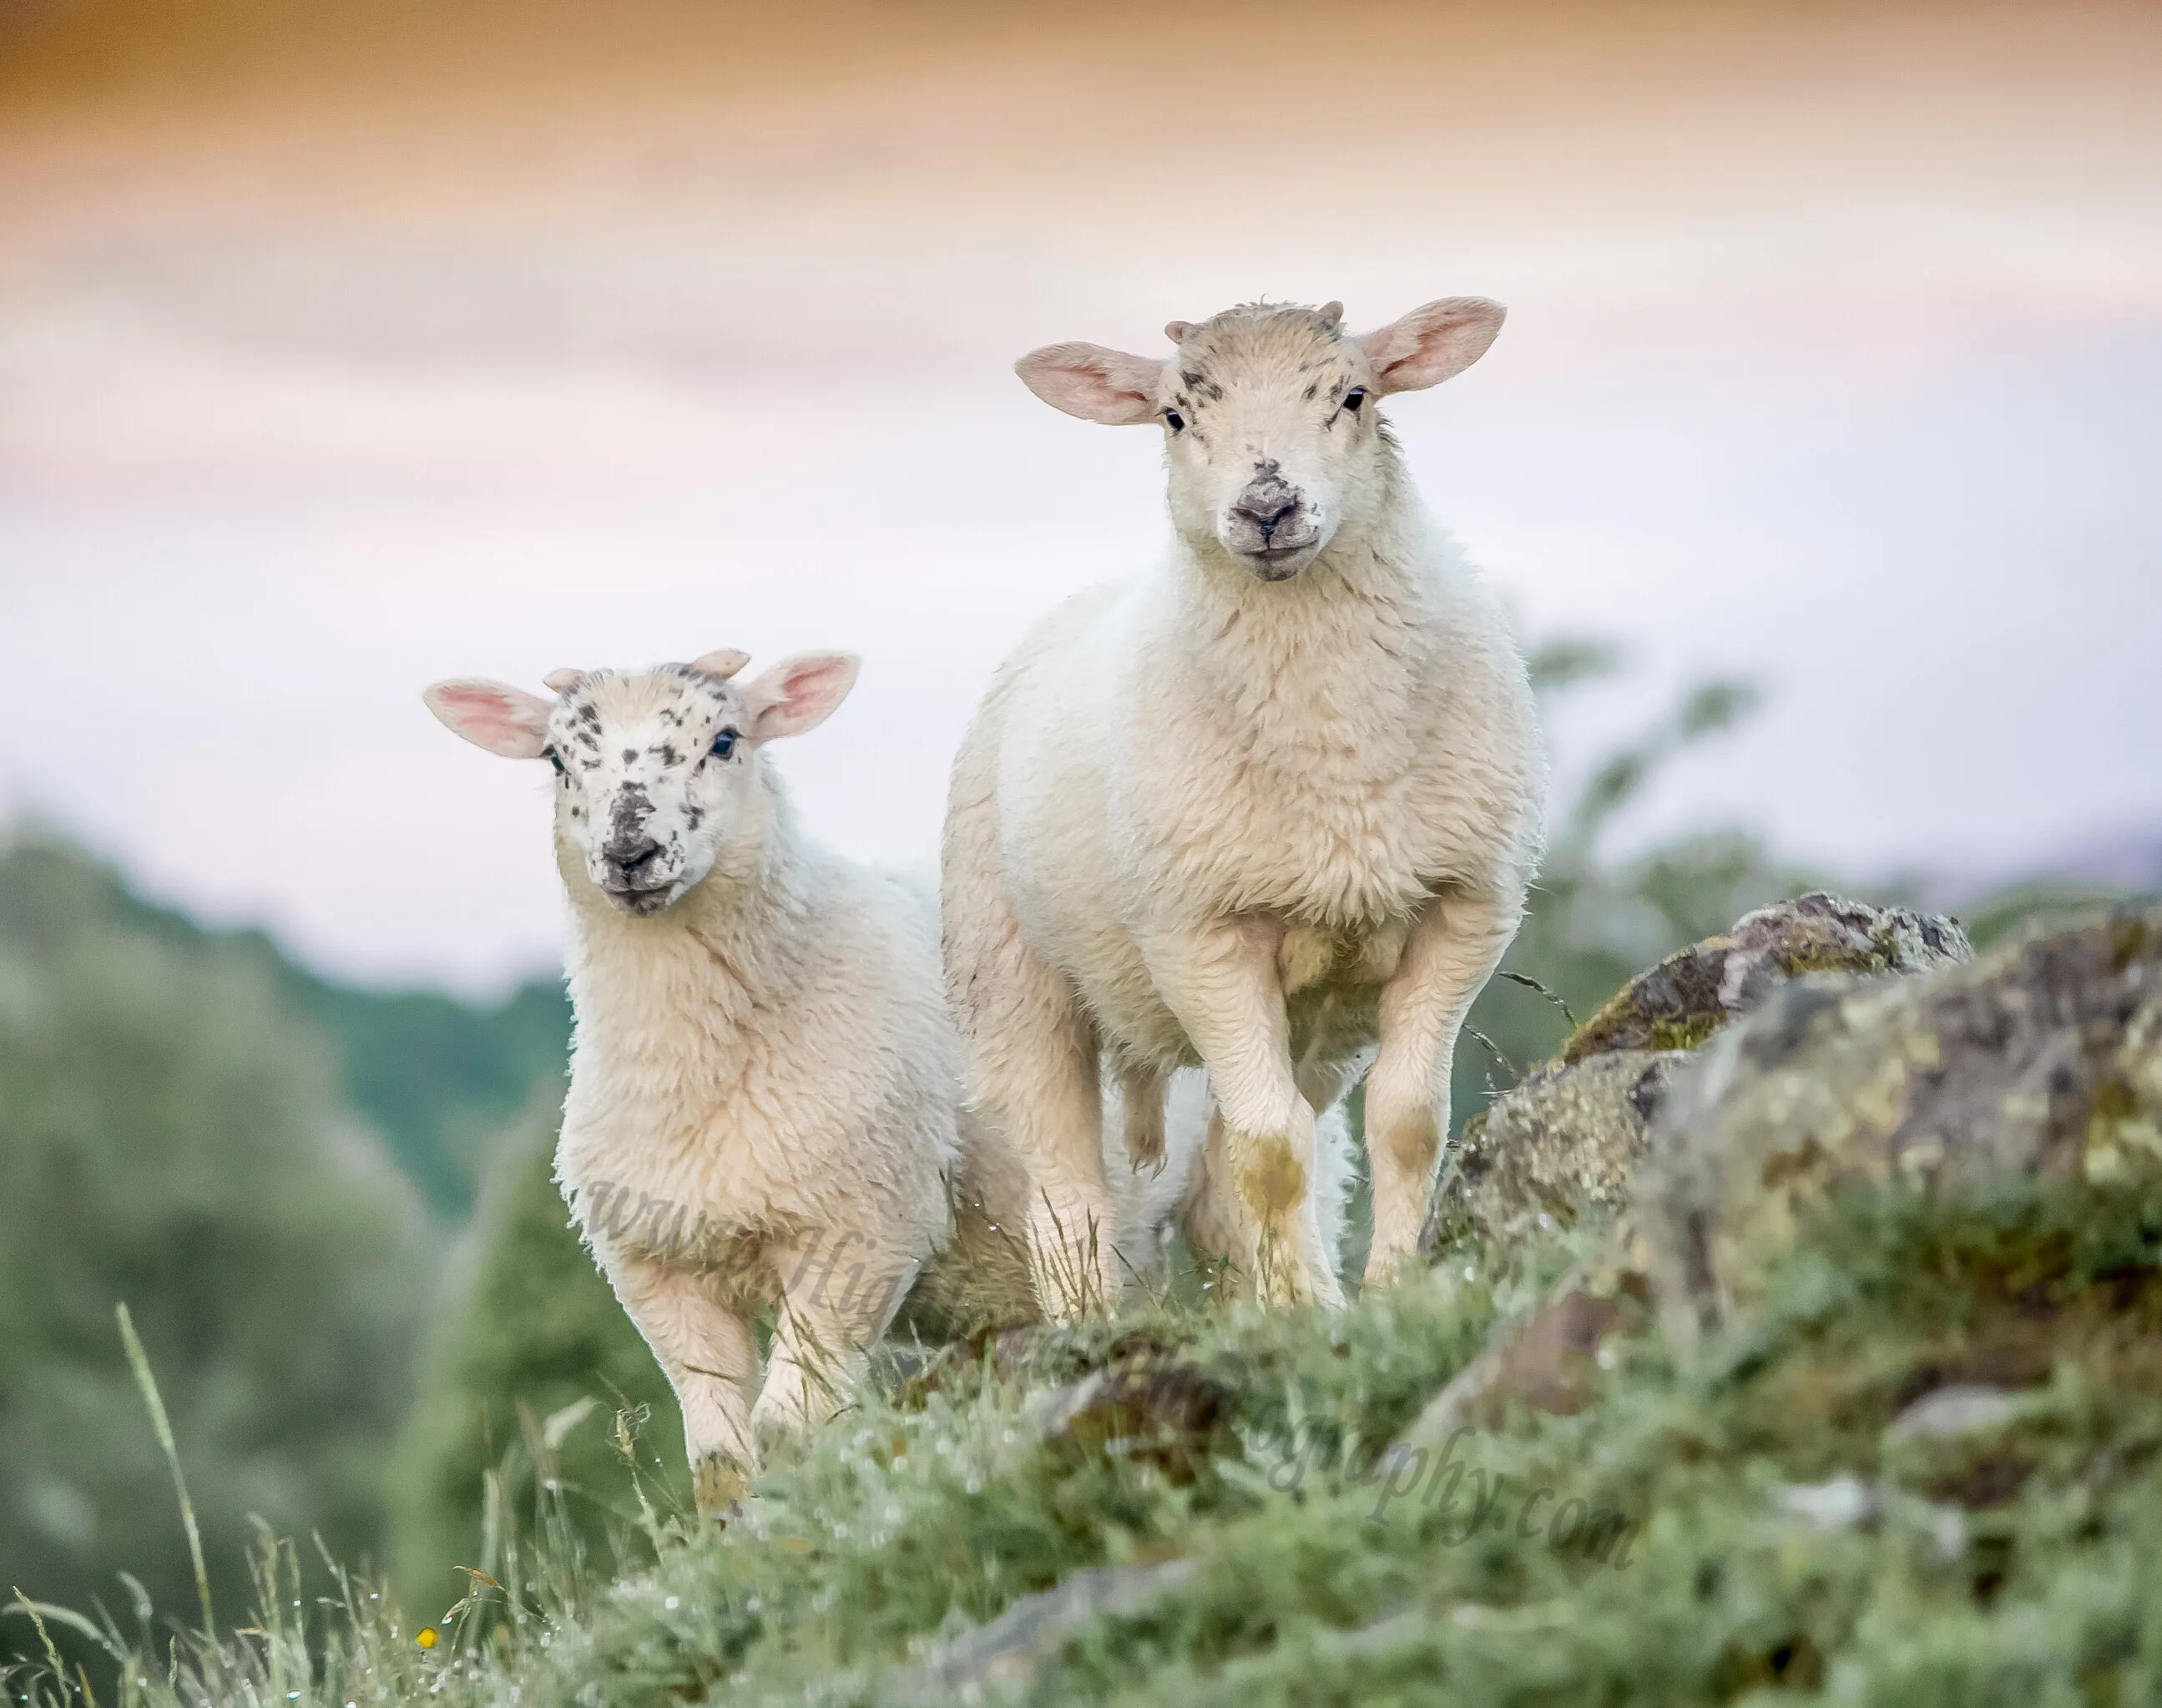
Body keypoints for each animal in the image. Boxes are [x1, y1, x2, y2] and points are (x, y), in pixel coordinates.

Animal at [424, 649, 1046, 1512]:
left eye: (723, 740)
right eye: (556, 759)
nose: (629, 854)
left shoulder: (866, 1234)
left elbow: (791, 1428)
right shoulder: (656, 1266)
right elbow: (721, 1462)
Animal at [944, 297, 1546, 1312]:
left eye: (1353, 395)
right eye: (1174, 416)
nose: (1268, 510)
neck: (1336, 755)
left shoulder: (1465, 908)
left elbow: (1405, 1126)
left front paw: (1390, 1293)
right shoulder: (1199, 936)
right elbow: (1271, 1155)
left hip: (1319, 1022)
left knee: (1245, 1153)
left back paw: (1297, 1299)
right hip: (1013, 973)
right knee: (1067, 1192)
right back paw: (1087, 1326)